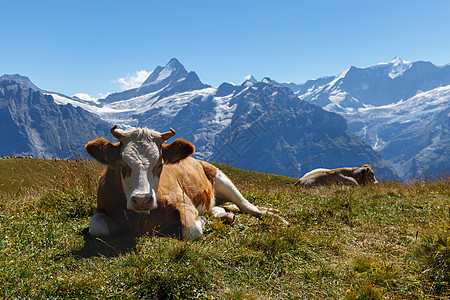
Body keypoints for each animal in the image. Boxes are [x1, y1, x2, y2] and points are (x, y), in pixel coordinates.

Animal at [85, 125, 288, 240]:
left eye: (160, 164)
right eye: (122, 165)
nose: (142, 200)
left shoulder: (184, 202)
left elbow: (192, 231)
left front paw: (202, 221)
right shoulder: (102, 208)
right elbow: (97, 228)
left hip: (223, 178)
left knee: (248, 207)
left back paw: (277, 216)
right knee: (222, 208)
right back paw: (223, 214)